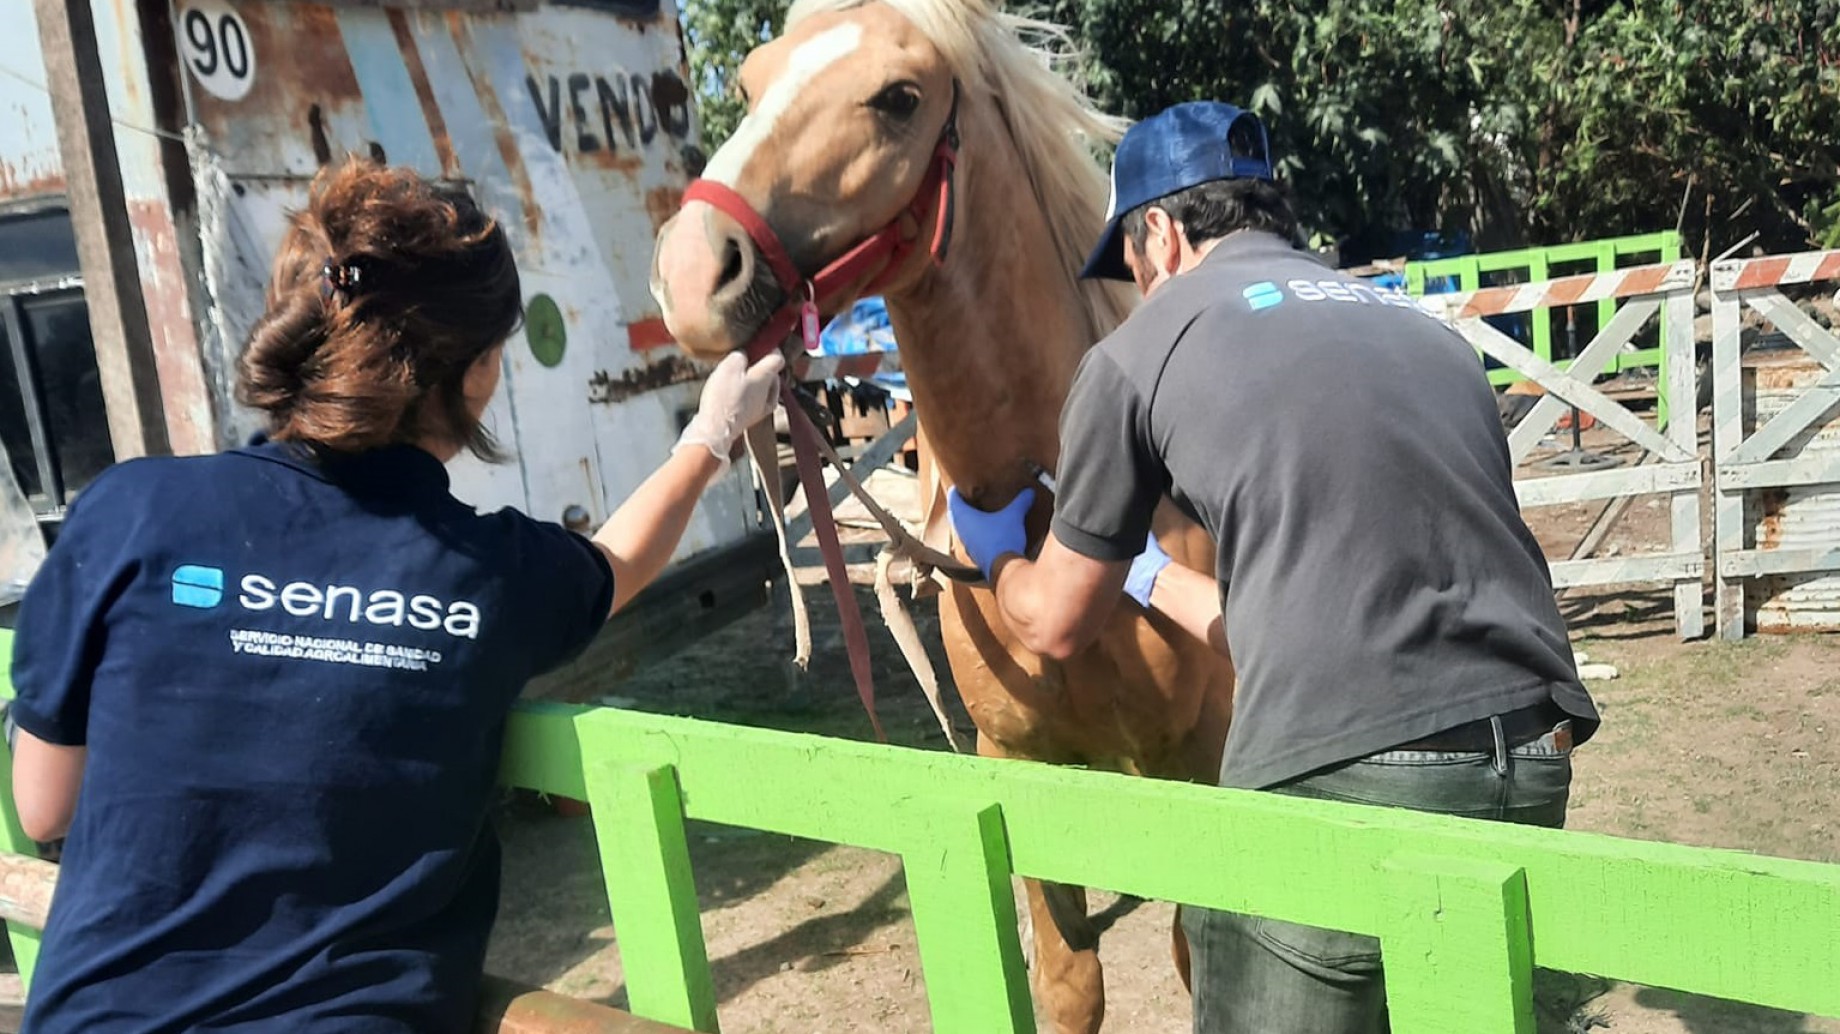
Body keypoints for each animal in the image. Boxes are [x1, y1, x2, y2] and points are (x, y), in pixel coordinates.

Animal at [650, 2, 1237, 1030]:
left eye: (899, 98)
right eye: (752, 82)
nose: (691, 271)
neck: (1054, 518)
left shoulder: (1200, 770)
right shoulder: (1022, 764)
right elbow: (1069, 983)